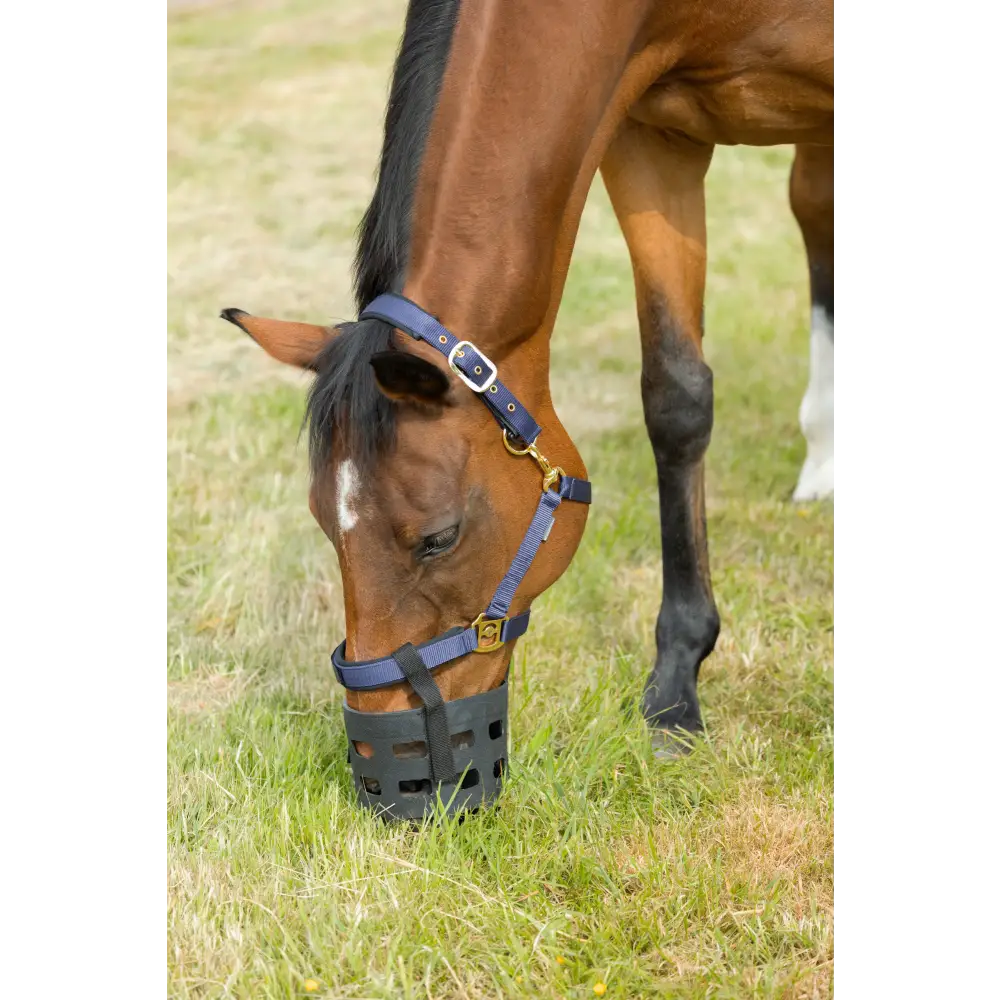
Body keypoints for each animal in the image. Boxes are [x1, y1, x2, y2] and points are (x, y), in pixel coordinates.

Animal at [221, 0, 837, 816]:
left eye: (439, 538)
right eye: (326, 524)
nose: (385, 767)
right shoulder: (651, 136)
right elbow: (676, 396)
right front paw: (676, 688)